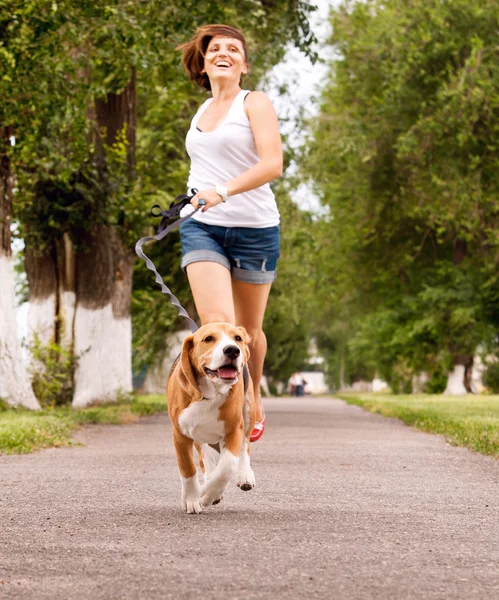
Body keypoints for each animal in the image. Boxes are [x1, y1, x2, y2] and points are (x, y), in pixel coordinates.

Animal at [168, 322, 258, 512]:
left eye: (237, 338)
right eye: (208, 339)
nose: (232, 350)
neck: (209, 394)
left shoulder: (233, 430)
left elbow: (227, 467)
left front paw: (207, 494)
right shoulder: (179, 434)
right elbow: (188, 468)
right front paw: (192, 499)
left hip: (248, 410)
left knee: (245, 446)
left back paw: (244, 475)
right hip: (197, 434)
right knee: (204, 456)